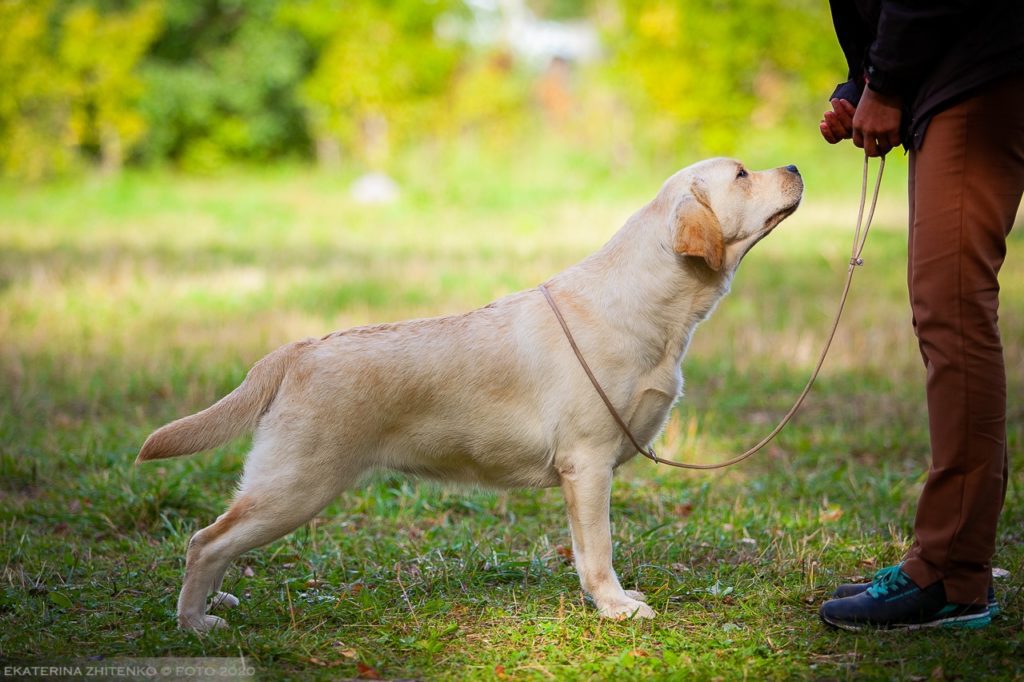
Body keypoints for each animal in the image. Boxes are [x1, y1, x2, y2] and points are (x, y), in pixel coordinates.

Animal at [140, 156, 802, 630]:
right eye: (741, 174)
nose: (796, 166)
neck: (649, 304)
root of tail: (297, 350)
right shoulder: (587, 465)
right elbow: (598, 551)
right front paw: (617, 608)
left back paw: (215, 604)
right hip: (295, 486)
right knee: (205, 540)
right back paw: (194, 622)